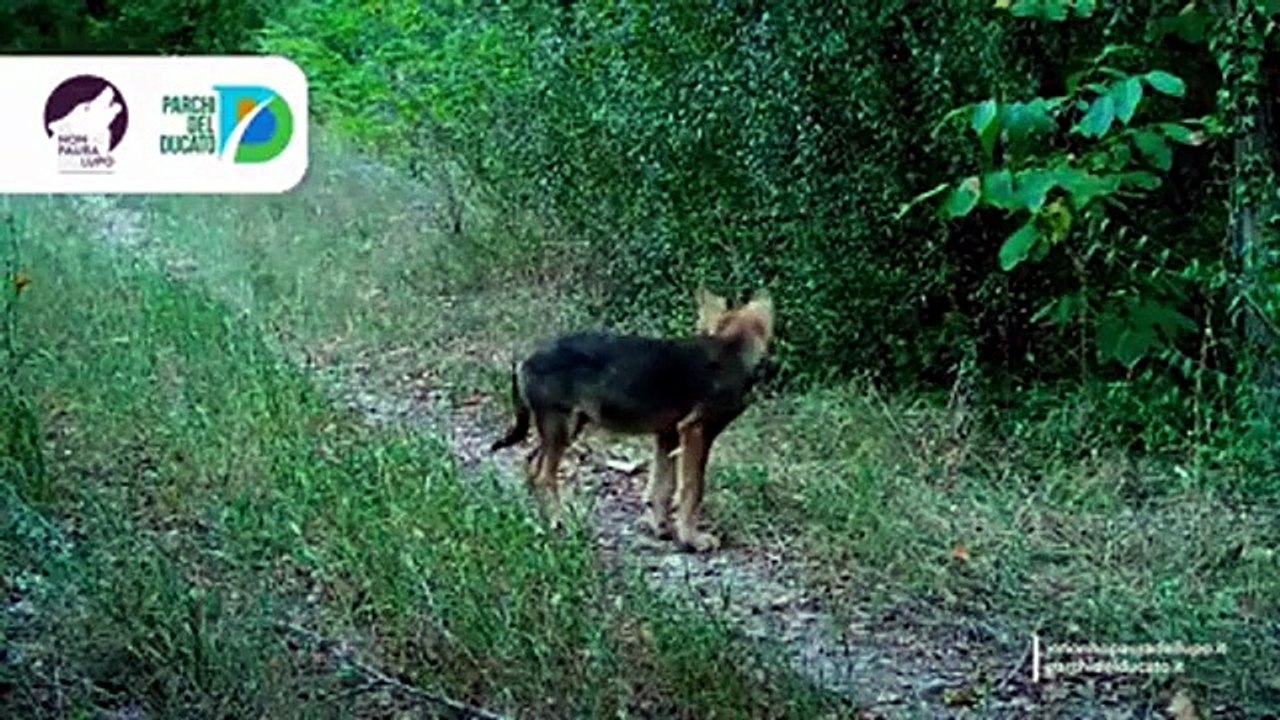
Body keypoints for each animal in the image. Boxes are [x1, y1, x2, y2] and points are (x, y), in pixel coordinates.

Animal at [490, 289, 775, 552]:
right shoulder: (696, 431)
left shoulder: (668, 434)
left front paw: (661, 528)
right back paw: (563, 524)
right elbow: (692, 490)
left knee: (530, 464)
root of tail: (525, 359)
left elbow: (662, 487)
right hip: (561, 428)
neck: (731, 347)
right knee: (543, 476)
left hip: (565, 428)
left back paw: (539, 521)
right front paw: (692, 539)